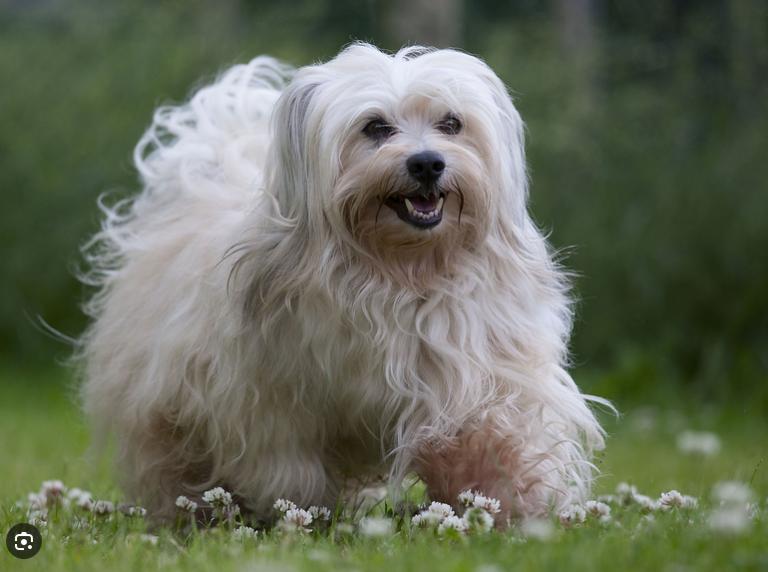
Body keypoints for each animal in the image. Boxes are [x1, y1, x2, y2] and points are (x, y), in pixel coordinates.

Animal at [78, 42, 608, 524]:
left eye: (452, 123)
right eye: (375, 127)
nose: (427, 163)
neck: (400, 271)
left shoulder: (474, 368)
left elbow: (491, 436)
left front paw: (508, 503)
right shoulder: (270, 399)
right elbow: (287, 466)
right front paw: (298, 512)